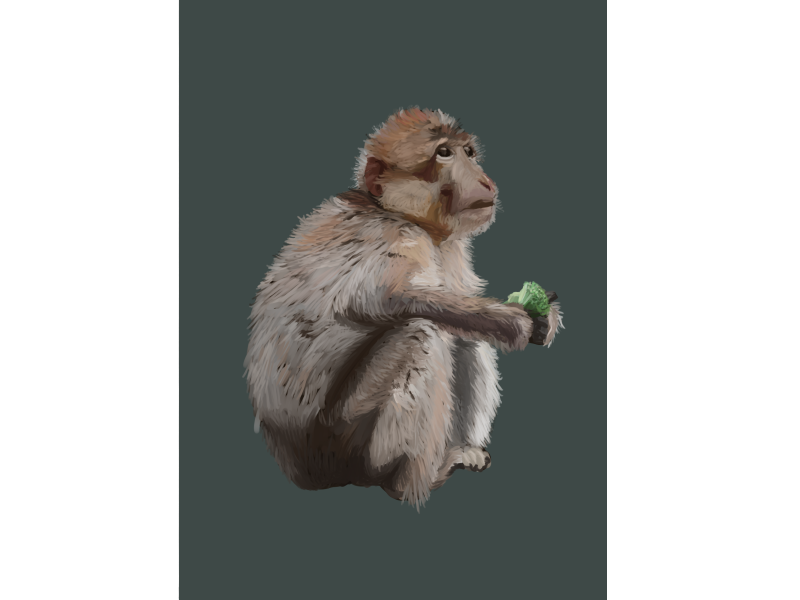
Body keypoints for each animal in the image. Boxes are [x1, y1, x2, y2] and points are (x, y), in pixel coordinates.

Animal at [245, 108, 564, 509]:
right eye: (443, 153)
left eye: (468, 152)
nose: (485, 182)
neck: (400, 214)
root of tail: (296, 466)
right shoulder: (392, 237)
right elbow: (387, 299)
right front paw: (512, 321)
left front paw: (541, 318)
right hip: (339, 438)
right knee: (420, 332)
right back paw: (410, 483)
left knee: (464, 338)